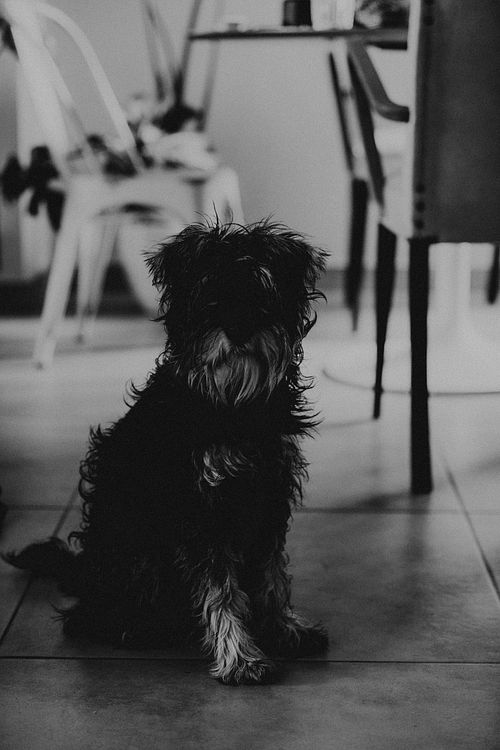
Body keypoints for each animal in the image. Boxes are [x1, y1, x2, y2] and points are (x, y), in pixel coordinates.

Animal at [5, 219, 328, 685]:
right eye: (210, 293)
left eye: (262, 291)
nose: (239, 329)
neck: (231, 402)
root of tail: (84, 573)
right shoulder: (202, 509)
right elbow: (221, 589)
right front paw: (239, 657)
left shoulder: (269, 491)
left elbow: (271, 574)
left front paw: (284, 628)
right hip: (135, 554)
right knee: (86, 619)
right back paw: (136, 626)